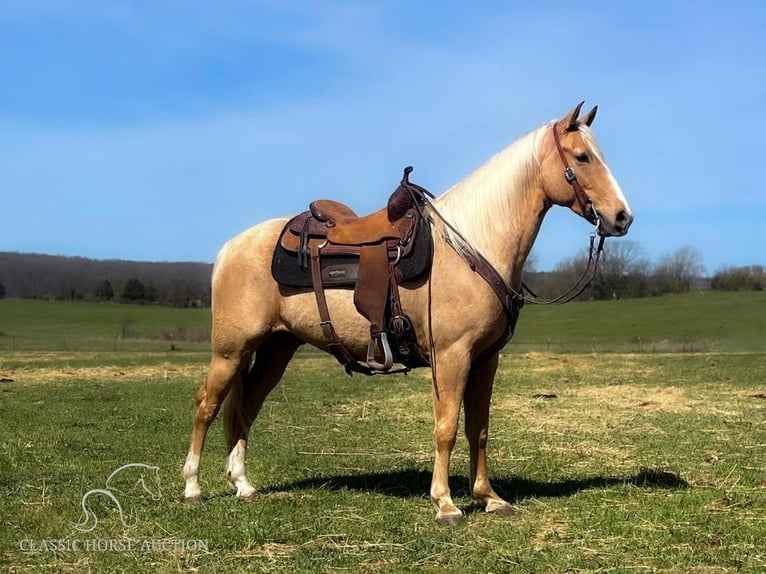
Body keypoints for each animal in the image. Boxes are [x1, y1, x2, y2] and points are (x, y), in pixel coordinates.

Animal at [183, 103, 632, 528]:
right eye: (582, 157)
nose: (622, 217)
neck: (470, 246)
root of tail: (232, 246)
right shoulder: (451, 357)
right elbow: (446, 428)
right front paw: (445, 504)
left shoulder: (485, 360)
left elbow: (479, 429)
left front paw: (489, 498)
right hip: (231, 351)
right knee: (207, 405)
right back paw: (192, 487)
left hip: (276, 348)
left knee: (246, 405)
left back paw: (243, 485)